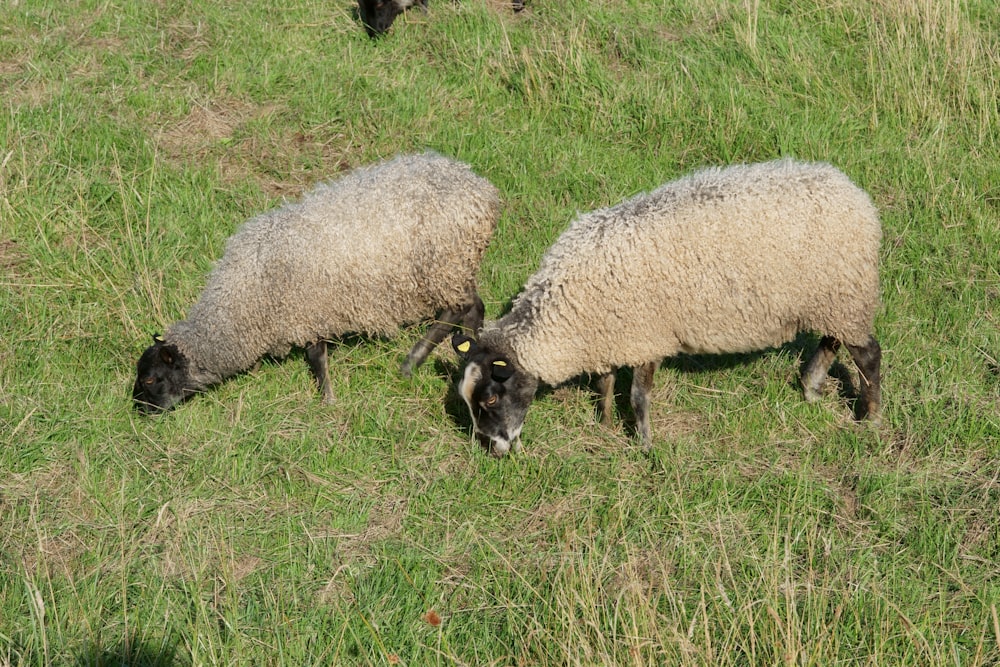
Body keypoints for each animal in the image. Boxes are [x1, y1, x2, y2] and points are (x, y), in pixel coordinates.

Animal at [135, 151, 500, 412]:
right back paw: (470, 351)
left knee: (455, 309)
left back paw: (412, 362)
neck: (246, 299)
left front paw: (327, 399)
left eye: (152, 379)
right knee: (474, 305)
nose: (141, 411)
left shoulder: (307, 310)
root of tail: (480, 190)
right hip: (456, 267)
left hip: (441, 266)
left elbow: (316, 357)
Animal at [454, 159, 884, 456]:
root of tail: (854, 194)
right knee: (832, 340)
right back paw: (811, 388)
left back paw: (870, 417)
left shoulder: (647, 336)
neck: (568, 313)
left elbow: (637, 397)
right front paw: (605, 426)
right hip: (835, 299)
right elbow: (605, 383)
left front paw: (645, 446)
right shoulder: (610, 334)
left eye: (490, 398)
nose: (495, 449)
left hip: (845, 293)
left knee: (868, 355)